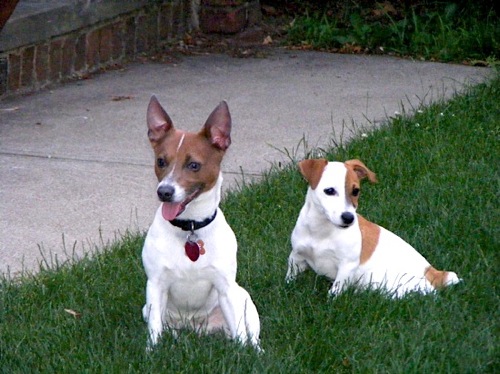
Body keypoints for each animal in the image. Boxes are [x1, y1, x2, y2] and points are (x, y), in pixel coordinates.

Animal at [140, 95, 260, 350]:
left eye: (193, 165)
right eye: (161, 161)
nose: (164, 192)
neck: (190, 227)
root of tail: (194, 327)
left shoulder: (226, 288)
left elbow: (240, 333)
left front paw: (244, 353)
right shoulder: (155, 286)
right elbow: (154, 330)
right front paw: (152, 352)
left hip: (242, 297)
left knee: (251, 334)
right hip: (149, 308)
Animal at [286, 158, 460, 298]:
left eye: (356, 191)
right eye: (329, 191)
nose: (349, 218)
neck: (321, 230)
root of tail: (432, 273)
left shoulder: (346, 266)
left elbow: (335, 291)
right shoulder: (296, 257)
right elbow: (289, 278)